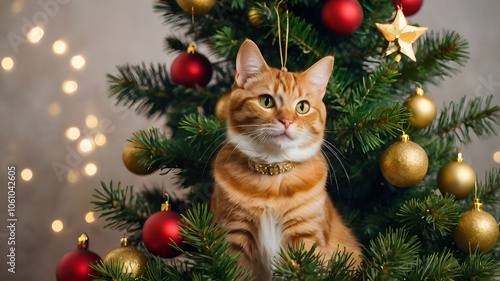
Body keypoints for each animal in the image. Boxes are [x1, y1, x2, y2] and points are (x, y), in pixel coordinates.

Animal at [210, 38, 360, 278]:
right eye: (266, 101)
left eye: (302, 107)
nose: (287, 121)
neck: (272, 178)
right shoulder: (234, 236)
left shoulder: (305, 239)